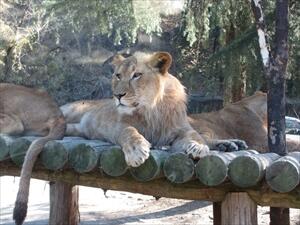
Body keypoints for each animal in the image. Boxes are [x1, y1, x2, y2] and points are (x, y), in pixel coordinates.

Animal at [61, 51, 246, 167]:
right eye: (118, 75)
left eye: (136, 75)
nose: (118, 95)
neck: (152, 109)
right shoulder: (116, 126)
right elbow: (129, 131)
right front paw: (136, 151)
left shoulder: (180, 128)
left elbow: (194, 135)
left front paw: (198, 147)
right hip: (69, 114)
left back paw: (230, 144)